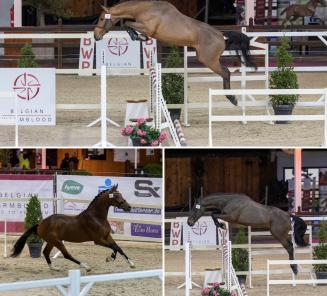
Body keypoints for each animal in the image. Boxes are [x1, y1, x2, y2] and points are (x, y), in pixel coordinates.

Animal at [93, 0, 258, 106]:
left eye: (101, 18)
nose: (95, 36)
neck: (145, 9)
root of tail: (220, 35)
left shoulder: (147, 27)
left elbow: (128, 23)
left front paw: (137, 36)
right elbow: (128, 24)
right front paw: (139, 37)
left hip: (208, 60)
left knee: (226, 72)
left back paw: (232, 98)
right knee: (225, 72)